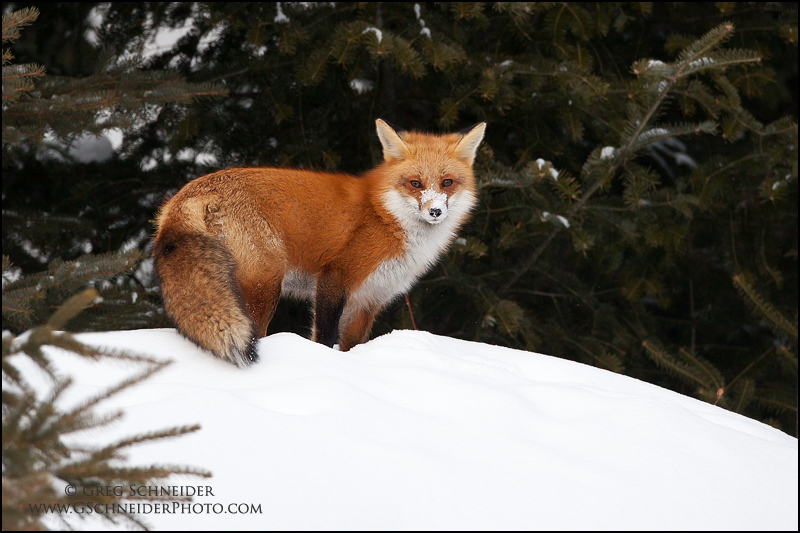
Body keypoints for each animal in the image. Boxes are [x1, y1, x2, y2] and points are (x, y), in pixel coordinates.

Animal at [153, 118, 484, 364]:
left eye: (447, 183)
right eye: (415, 183)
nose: (435, 211)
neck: (384, 215)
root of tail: (186, 194)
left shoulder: (368, 300)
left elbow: (352, 346)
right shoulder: (335, 277)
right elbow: (324, 336)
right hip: (265, 284)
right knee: (256, 333)